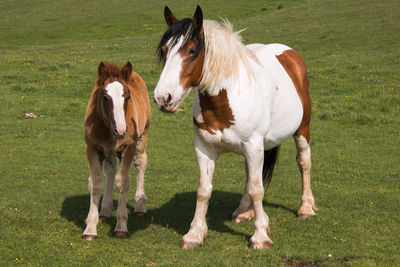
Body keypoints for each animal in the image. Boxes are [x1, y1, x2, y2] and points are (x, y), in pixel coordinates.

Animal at [154, 5, 318, 249]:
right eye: (165, 50)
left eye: (192, 50)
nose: (163, 98)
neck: (224, 100)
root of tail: (289, 54)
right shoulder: (204, 149)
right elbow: (204, 190)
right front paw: (194, 234)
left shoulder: (253, 146)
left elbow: (257, 189)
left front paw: (260, 236)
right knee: (250, 174)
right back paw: (243, 211)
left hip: (301, 129)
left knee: (304, 162)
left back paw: (306, 207)